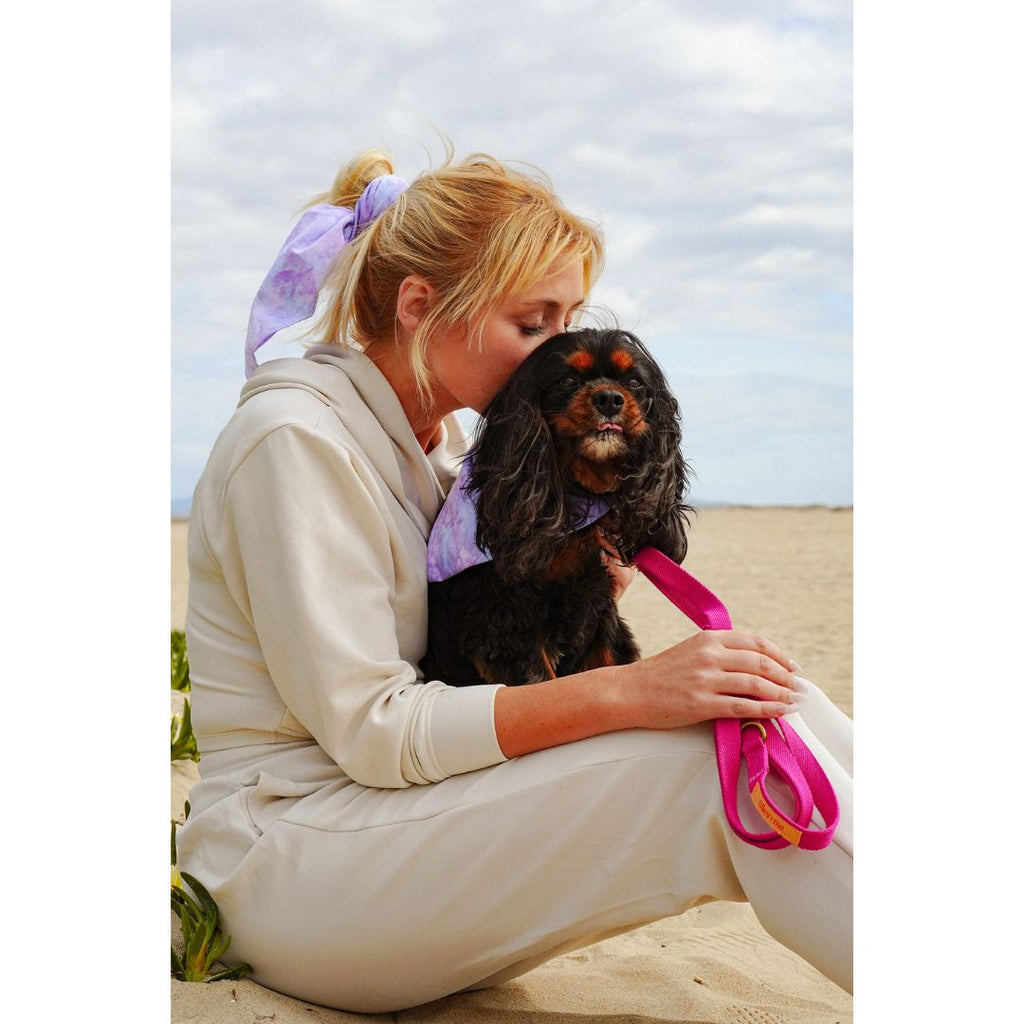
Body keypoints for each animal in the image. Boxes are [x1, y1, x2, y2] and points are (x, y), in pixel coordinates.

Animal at [422, 328, 692, 688]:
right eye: (566, 380)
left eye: (634, 382)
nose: (609, 398)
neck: (574, 493)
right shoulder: (504, 624)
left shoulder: (599, 615)